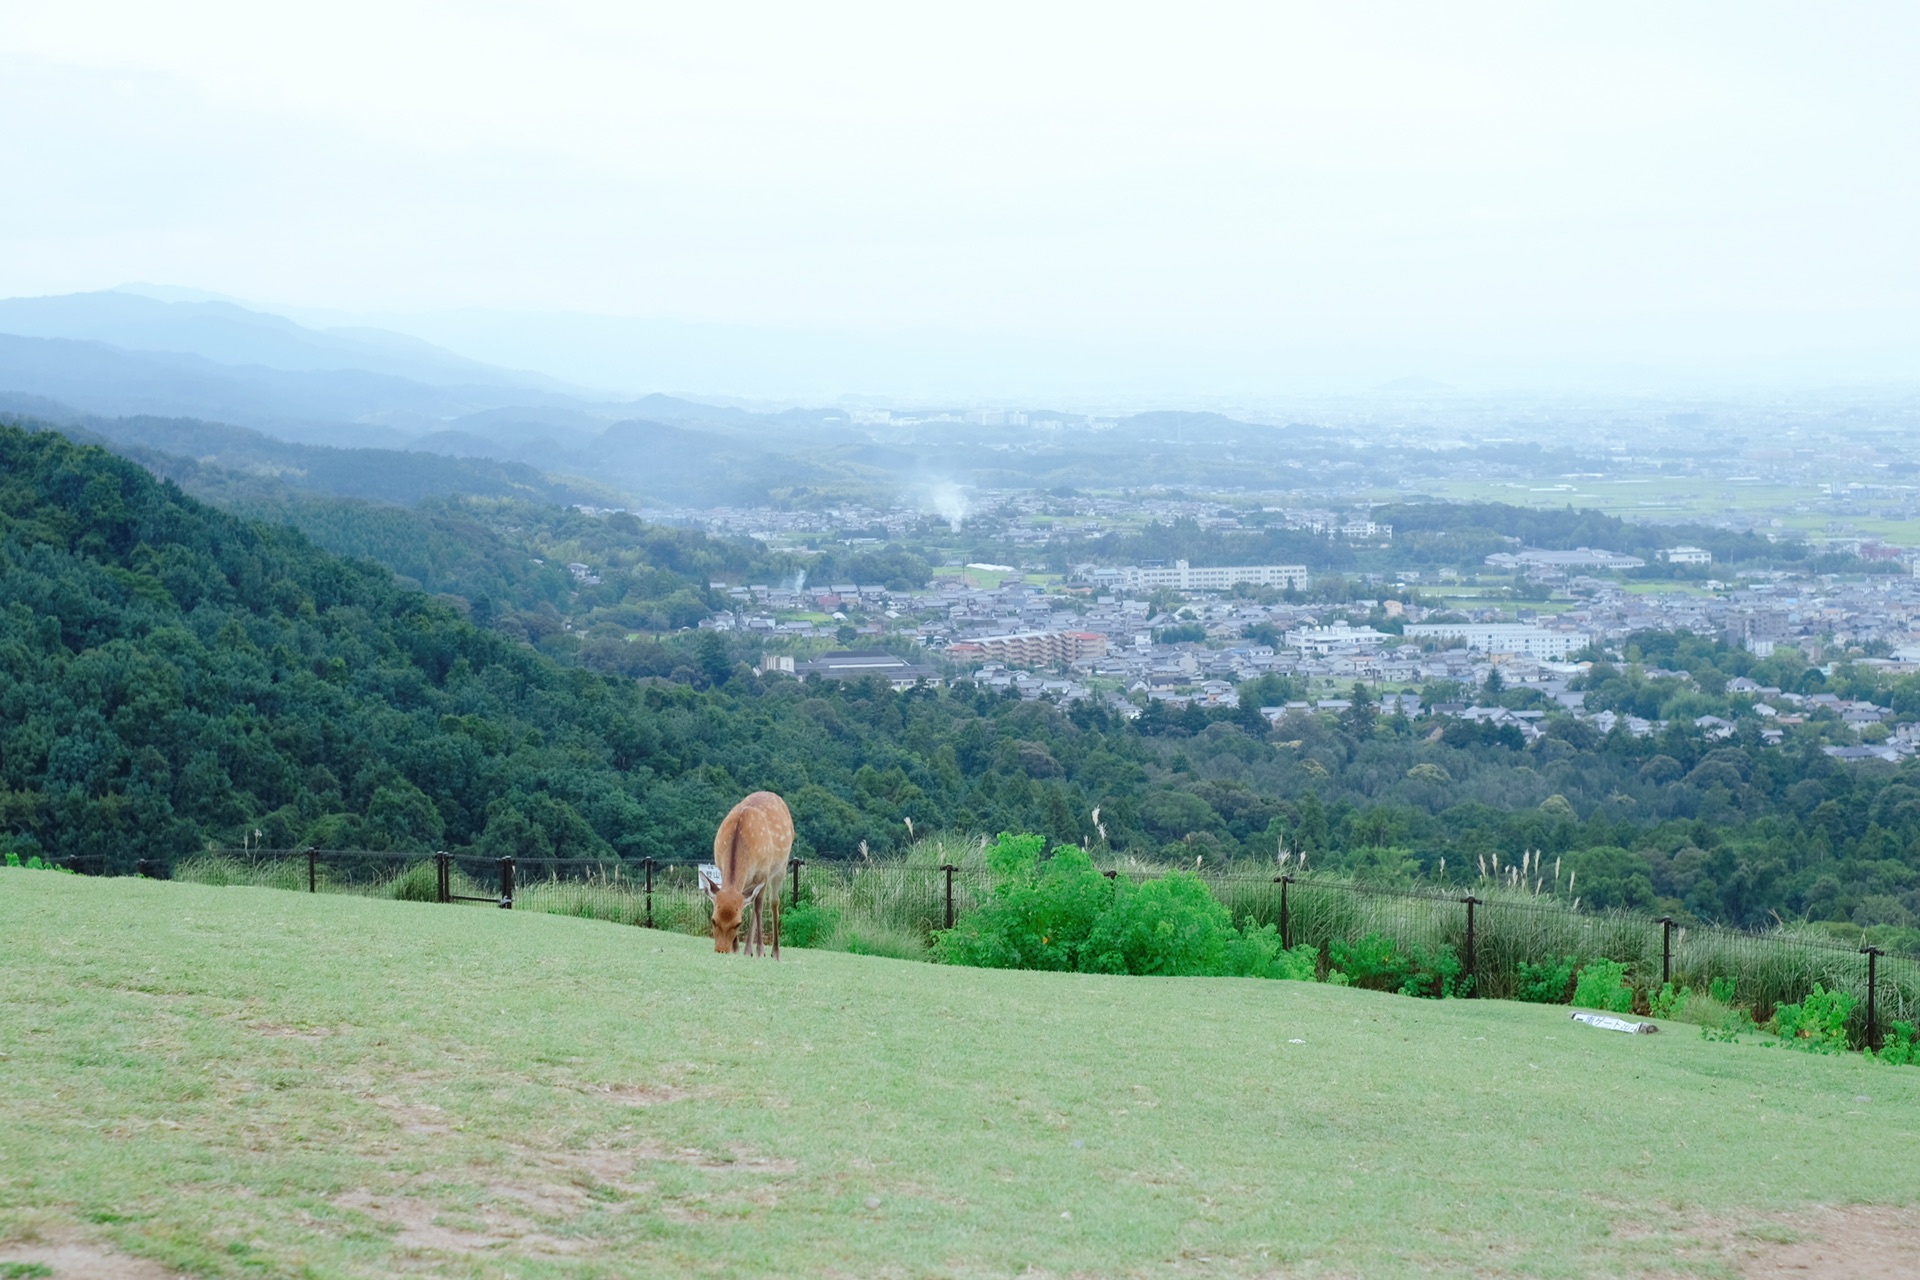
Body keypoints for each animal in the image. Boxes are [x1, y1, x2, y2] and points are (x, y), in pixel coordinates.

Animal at [698, 790, 794, 959]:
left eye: (738, 923)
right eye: (713, 919)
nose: (721, 950)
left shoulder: (763, 873)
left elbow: (759, 907)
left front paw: (761, 951)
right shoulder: (721, 868)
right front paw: (736, 948)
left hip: (781, 867)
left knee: (773, 903)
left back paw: (774, 952)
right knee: (753, 901)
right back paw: (747, 950)